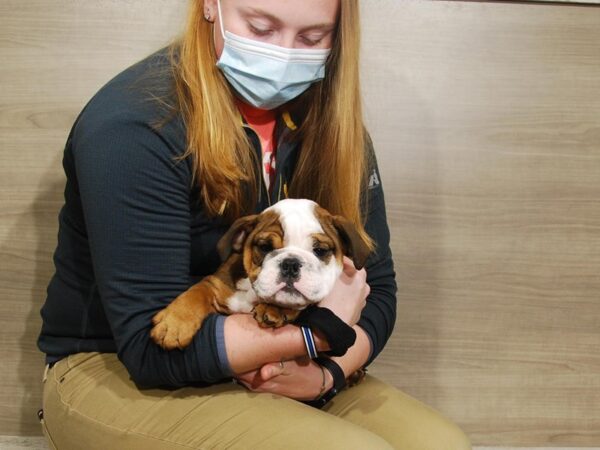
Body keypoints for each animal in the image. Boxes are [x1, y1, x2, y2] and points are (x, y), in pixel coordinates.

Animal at [150, 200, 370, 352]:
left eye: (320, 251)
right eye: (265, 247)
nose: (290, 264)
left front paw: (275, 308)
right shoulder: (217, 284)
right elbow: (195, 293)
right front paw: (175, 323)